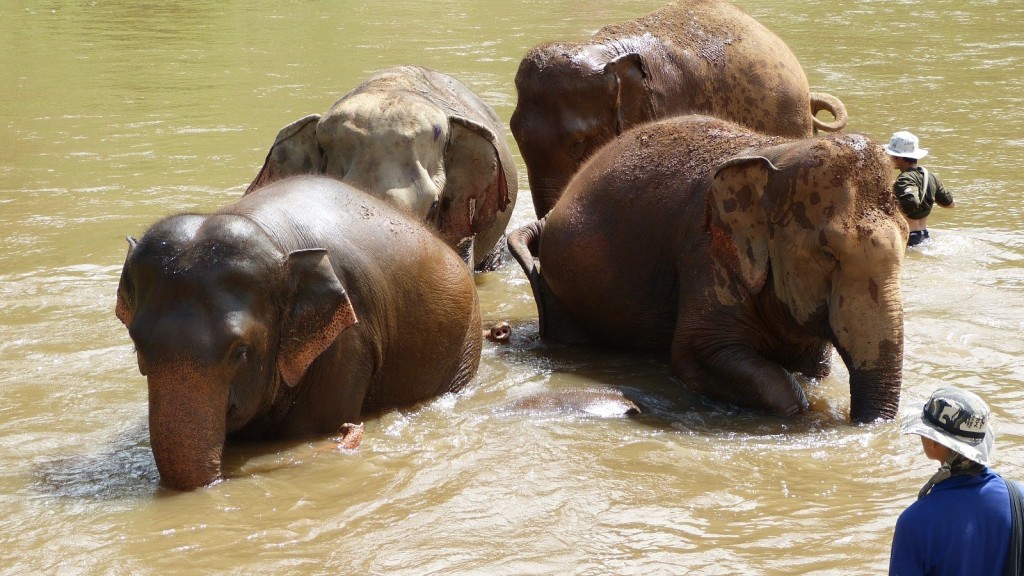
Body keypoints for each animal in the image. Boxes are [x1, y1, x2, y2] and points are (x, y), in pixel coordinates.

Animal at [114, 175, 481, 487]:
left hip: (465, 344)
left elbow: (311, 429)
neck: (271, 239)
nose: (351, 430)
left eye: (240, 351)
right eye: (137, 345)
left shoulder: (348, 343)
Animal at [507, 115, 909, 422]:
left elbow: (816, 367)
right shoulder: (705, 254)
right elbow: (698, 353)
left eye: (906, 238)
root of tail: (551, 213)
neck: (779, 153)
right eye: (828, 253)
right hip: (561, 291)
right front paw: (804, 413)